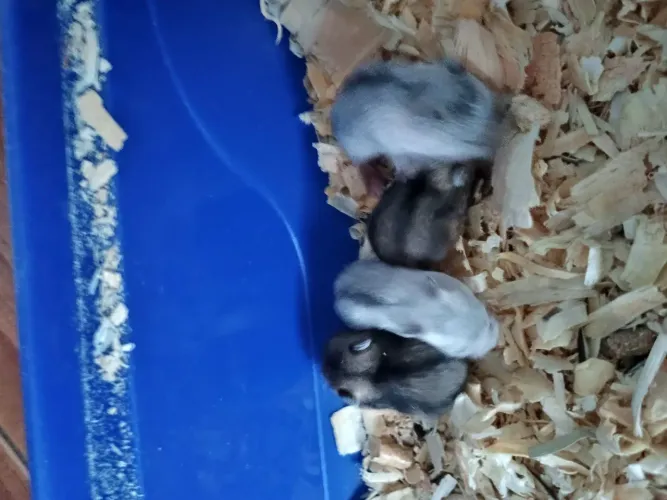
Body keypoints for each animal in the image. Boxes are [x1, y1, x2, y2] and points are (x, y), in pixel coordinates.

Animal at [330, 58, 508, 179]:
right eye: (456, 110)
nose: (495, 115)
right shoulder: (437, 145)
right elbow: (470, 149)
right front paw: (490, 151)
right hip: (364, 149)